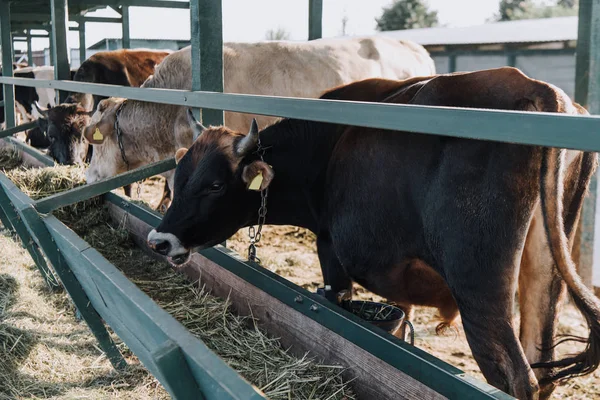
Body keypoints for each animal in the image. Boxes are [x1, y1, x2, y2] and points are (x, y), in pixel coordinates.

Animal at [145, 67, 600, 398]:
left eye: (214, 185)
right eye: (179, 178)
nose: (159, 241)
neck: (324, 145)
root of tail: (535, 87)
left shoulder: (330, 249)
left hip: (479, 286)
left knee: (515, 376)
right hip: (544, 273)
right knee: (542, 366)